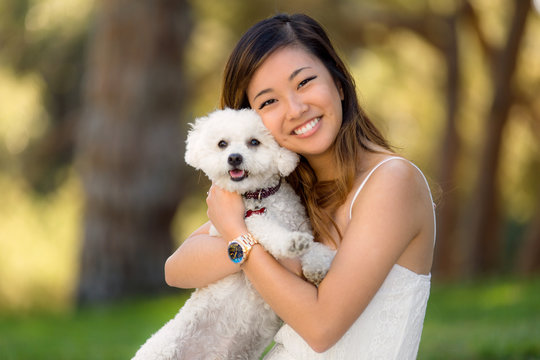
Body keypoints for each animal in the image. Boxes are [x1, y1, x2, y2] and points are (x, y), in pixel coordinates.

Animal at [133, 108, 336, 360]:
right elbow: (264, 227)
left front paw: (316, 265)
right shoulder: (238, 224)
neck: (257, 196)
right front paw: (291, 242)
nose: (234, 158)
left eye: (254, 142)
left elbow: (317, 248)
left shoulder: (301, 225)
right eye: (222, 144)